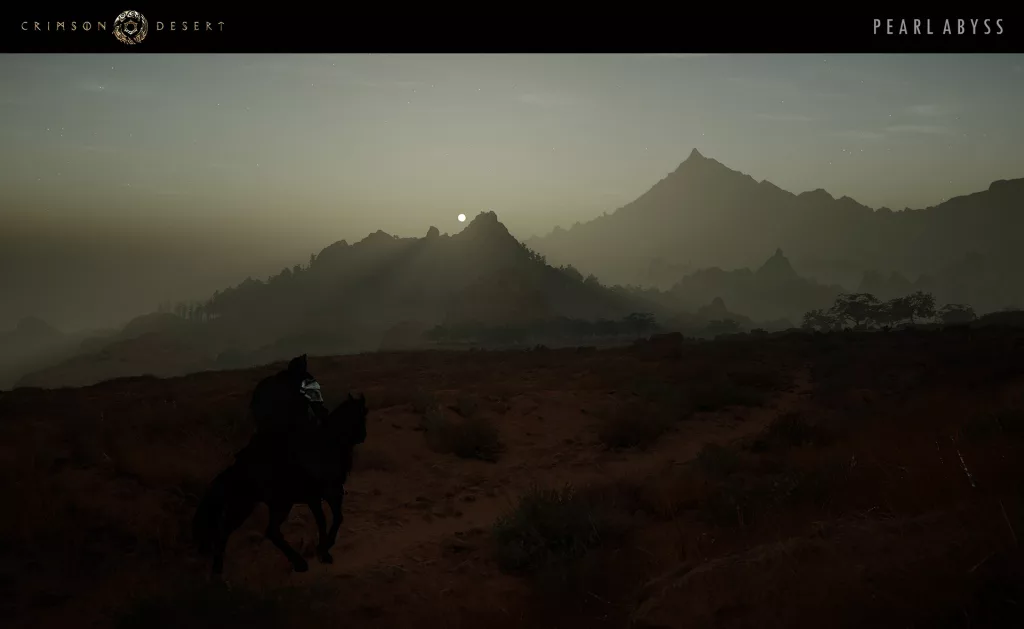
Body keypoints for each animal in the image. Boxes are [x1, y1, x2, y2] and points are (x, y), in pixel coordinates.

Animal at [192, 393, 368, 577]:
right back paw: (298, 563)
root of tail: (237, 468)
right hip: (269, 504)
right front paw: (324, 550)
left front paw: (324, 550)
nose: (363, 435)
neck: (327, 448)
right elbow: (329, 520)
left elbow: (330, 519)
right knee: (259, 531)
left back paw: (218, 573)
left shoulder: (324, 496)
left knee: (240, 532)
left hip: (252, 505)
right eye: (361, 415)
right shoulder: (322, 496)